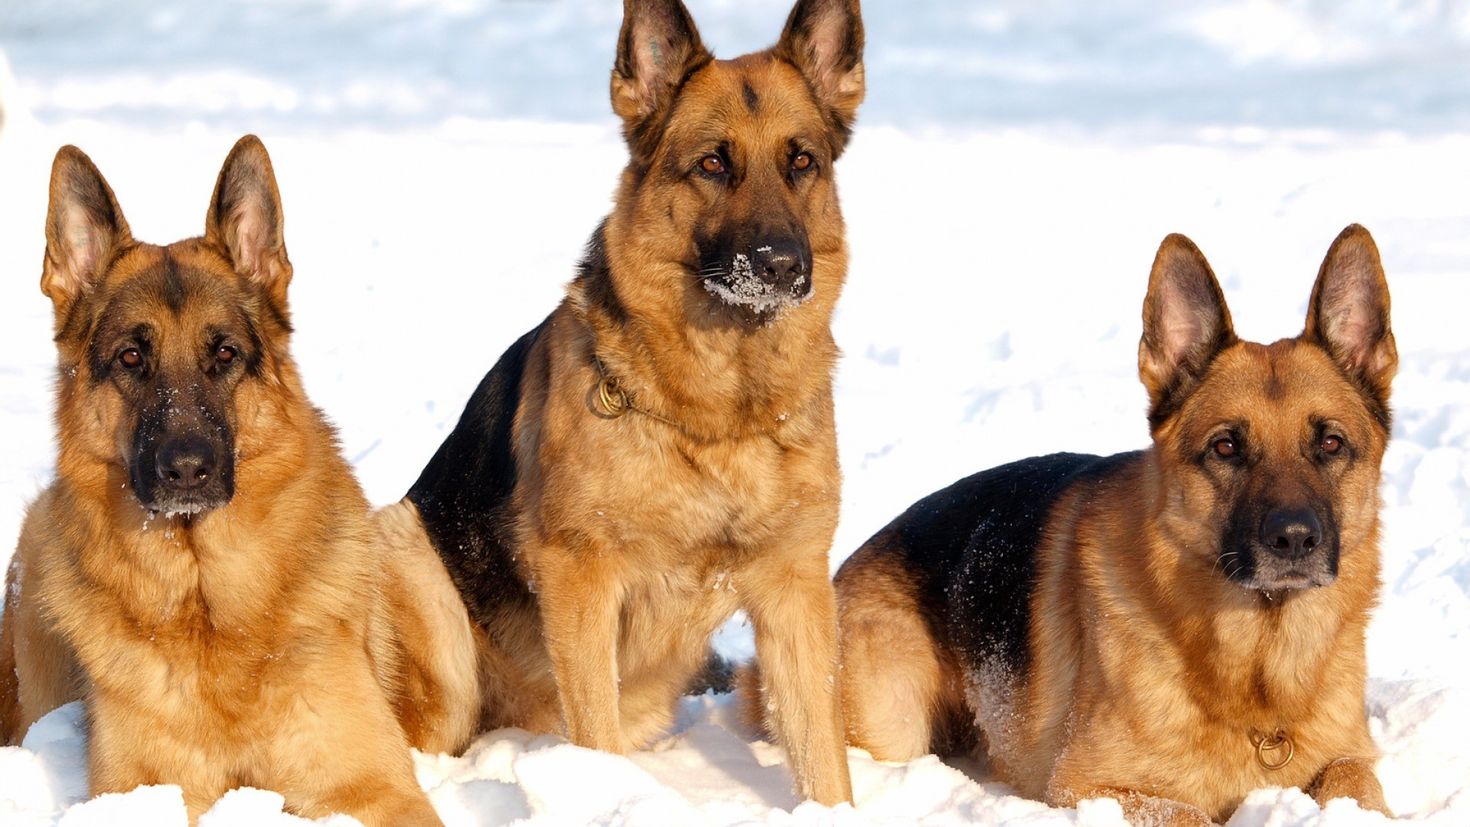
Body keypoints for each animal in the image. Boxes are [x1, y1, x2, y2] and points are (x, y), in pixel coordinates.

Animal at [0, 138, 473, 822]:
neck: (208, 604)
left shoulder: (375, 789)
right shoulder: (144, 794)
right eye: (131, 358)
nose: (187, 469)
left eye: (224, 354)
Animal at [373, 0, 864, 810]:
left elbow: (823, 755)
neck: (719, 415)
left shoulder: (795, 591)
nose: (783, 266)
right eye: (713, 164)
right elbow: (594, 737)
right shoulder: (582, 579)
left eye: (802, 162)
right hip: (412, 559)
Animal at [823, 227, 1393, 827]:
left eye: (1330, 443)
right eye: (1225, 447)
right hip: (894, 718)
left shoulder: (1349, 756)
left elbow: (1354, 783)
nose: (1294, 539)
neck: (1259, 668)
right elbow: (1189, 814)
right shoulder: (1089, 787)